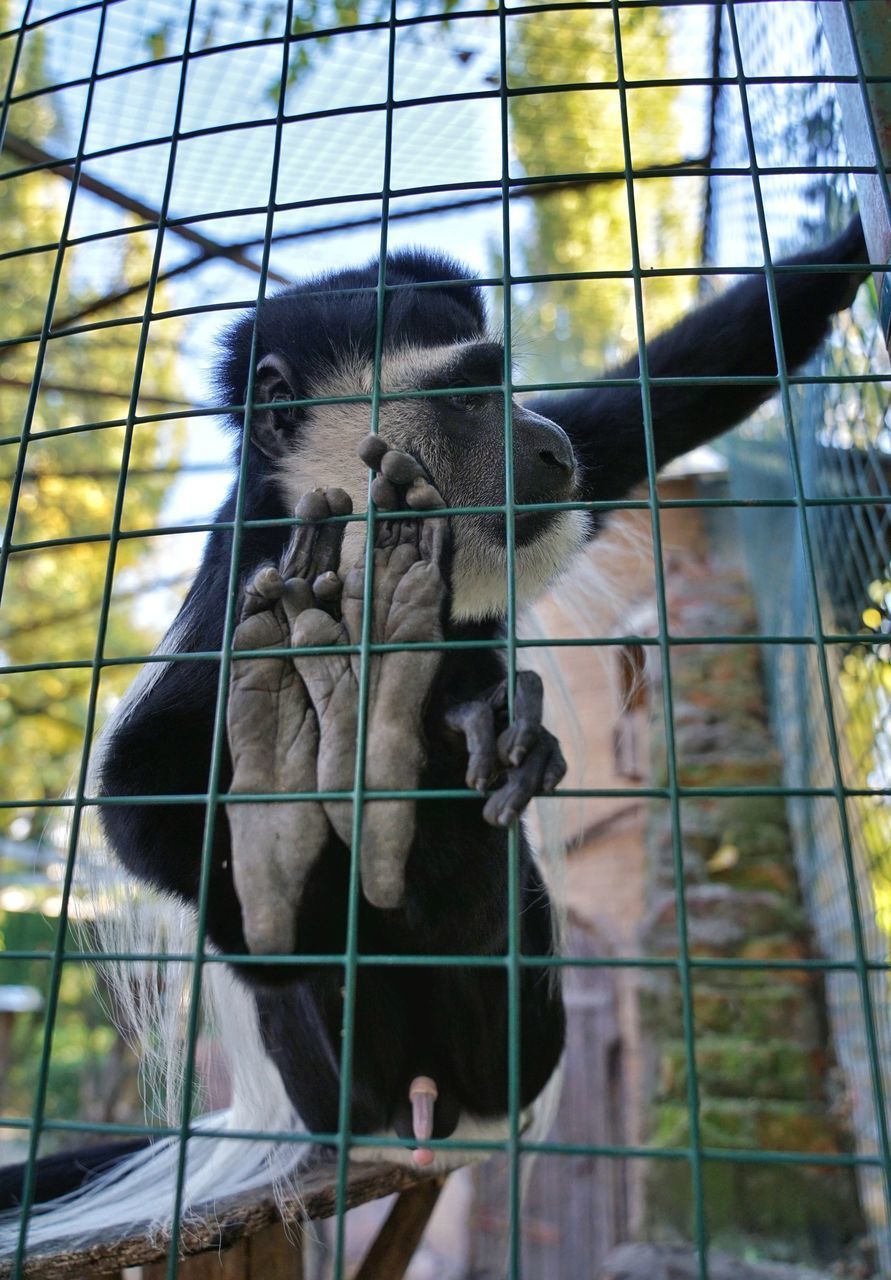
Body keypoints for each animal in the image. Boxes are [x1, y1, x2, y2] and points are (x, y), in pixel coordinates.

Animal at [0, 225, 865, 1223]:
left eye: (507, 384)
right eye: (465, 394)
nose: (548, 443)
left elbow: (659, 399)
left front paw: (847, 249)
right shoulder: (254, 577)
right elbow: (138, 791)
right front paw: (300, 872)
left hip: (519, 1040)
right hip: (335, 1077)